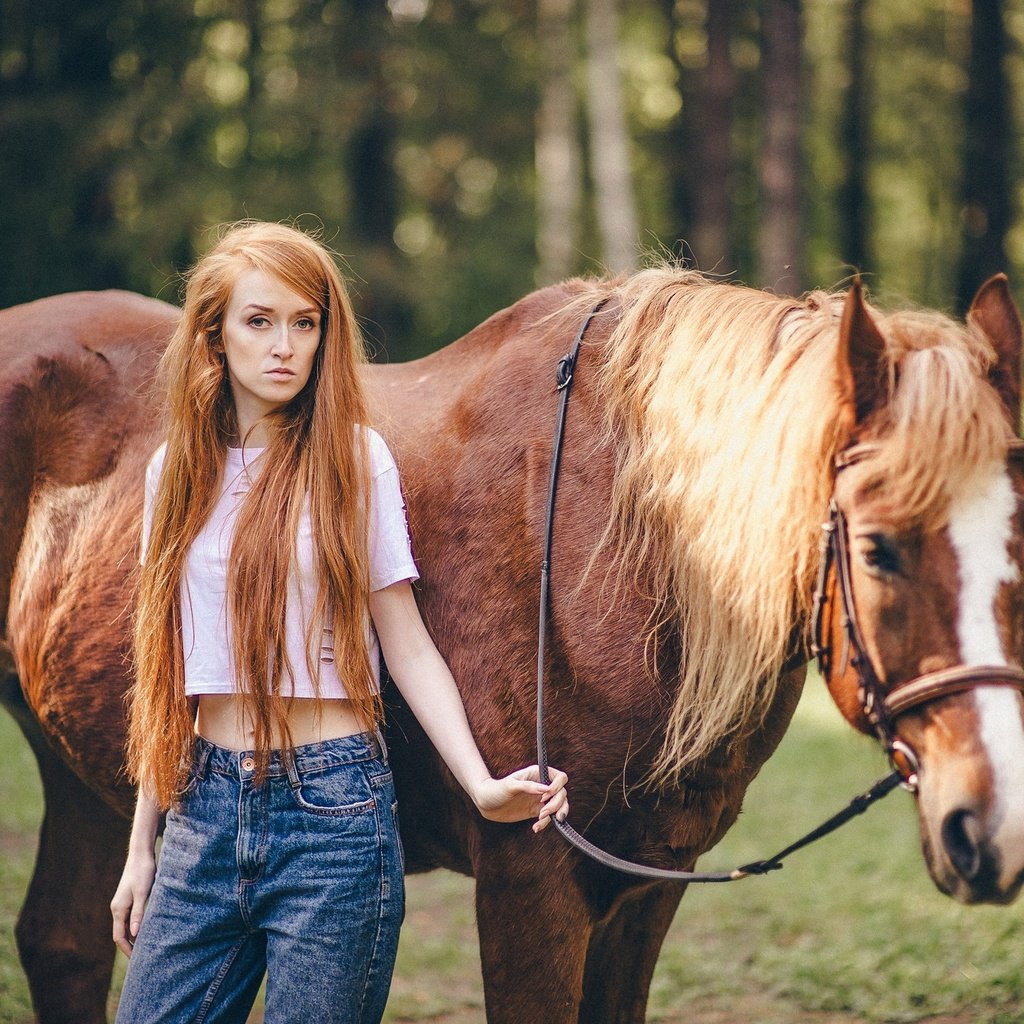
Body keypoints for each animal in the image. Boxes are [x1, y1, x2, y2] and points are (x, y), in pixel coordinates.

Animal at [6, 268, 1024, 1019]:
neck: (621, 540)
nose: (993, 827)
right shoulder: (529, 886)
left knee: (61, 944)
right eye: (878, 548)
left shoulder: (648, 885)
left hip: (89, 778)